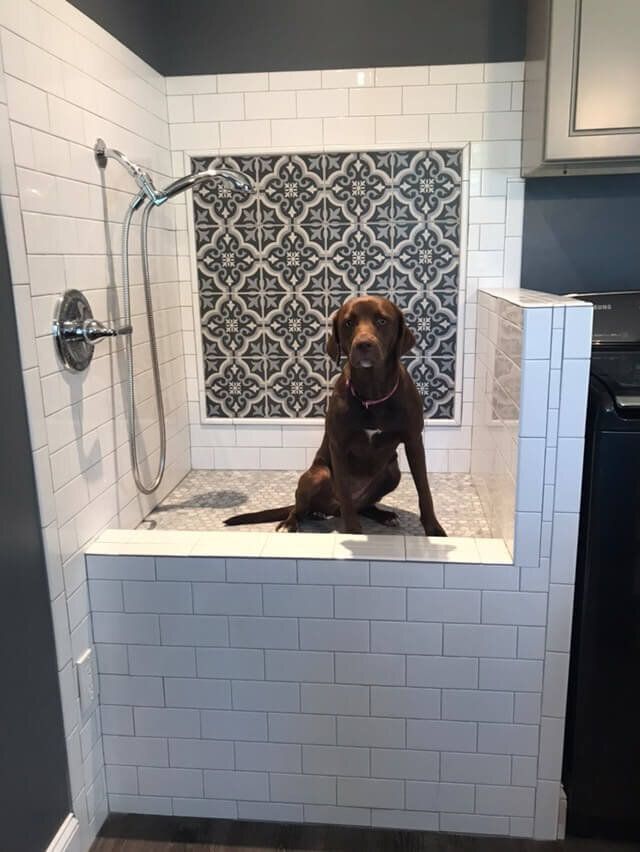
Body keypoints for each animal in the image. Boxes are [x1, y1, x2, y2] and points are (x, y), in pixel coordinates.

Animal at [225, 292, 444, 532]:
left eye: (382, 321)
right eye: (348, 323)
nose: (363, 344)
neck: (372, 394)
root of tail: (331, 509)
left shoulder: (414, 441)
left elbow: (424, 490)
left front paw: (434, 529)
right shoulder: (339, 446)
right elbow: (346, 495)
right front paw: (354, 533)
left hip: (392, 472)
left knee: (363, 506)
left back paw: (382, 515)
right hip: (317, 475)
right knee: (305, 507)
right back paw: (292, 521)